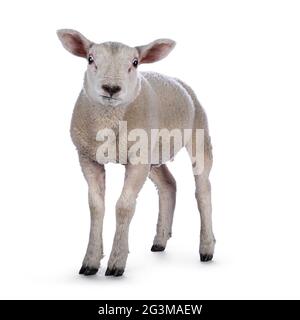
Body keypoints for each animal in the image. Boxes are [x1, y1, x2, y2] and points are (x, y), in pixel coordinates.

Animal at [56, 28, 216, 276]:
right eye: (90, 59)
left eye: (135, 62)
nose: (111, 88)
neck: (109, 122)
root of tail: (176, 80)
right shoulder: (88, 158)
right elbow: (96, 207)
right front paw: (90, 261)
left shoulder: (137, 160)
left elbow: (123, 206)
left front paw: (116, 263)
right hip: (153, 154)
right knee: (168, 184)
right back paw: (160, 241)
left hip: (198, 135)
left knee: (203, 190)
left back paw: (206, 248)